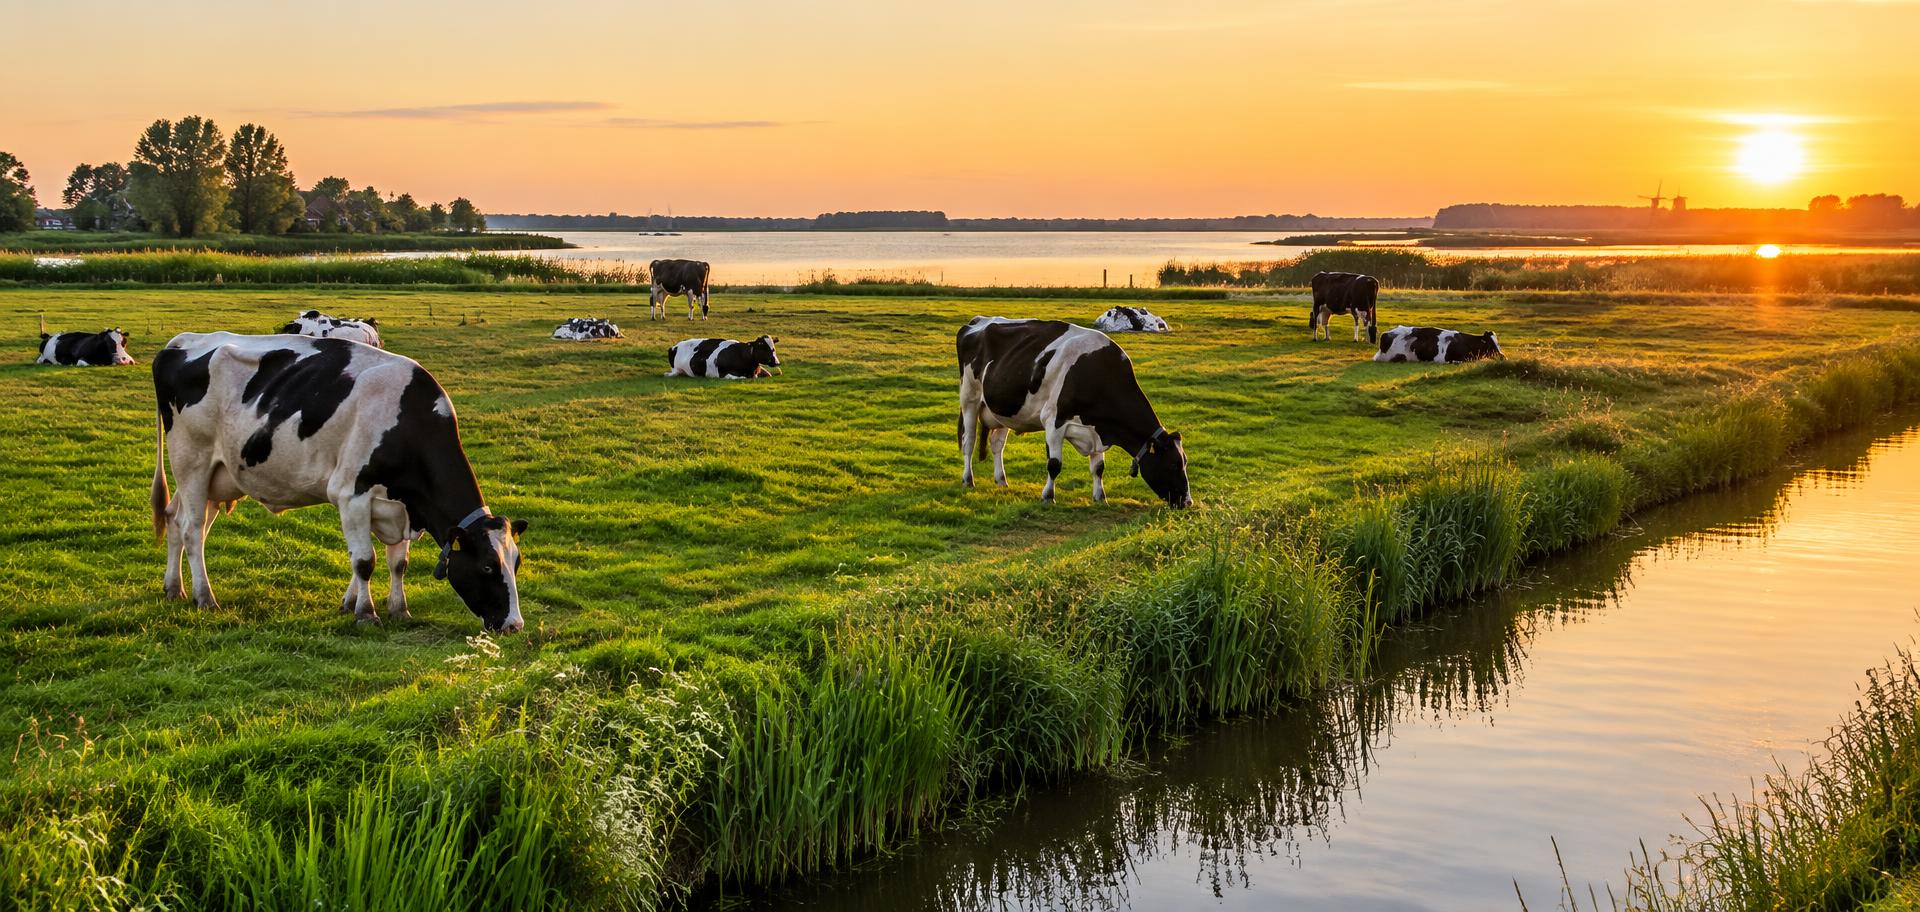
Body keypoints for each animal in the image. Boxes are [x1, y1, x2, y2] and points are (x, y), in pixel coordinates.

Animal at [150, 332, 530, 632]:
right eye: (487, 565)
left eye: (516, 562)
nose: (514, 625)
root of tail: (184, 341)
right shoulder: (352, 495)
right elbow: (364, 560)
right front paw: (366, 613)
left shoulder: (401, 507)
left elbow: (397, 563)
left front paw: (394, 609)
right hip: (191, 460)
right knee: (192, 529)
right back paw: (204, 597)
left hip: (217, 477)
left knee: (176, 519)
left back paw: (174, 588)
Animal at [956, 317, 1190, 507]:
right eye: (1173, 465)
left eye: (1185, 462)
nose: (1188, 502)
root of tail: (978, 321)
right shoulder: (1054, 420)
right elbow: (1054, 464)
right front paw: (1048, 496)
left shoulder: (1098, 429)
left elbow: (1098, 467)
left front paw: (1100, 497)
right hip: (969, 399)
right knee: (969, 441)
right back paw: (968, 480)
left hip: (1003, 409)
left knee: (997, 444)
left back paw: (1002, 481)